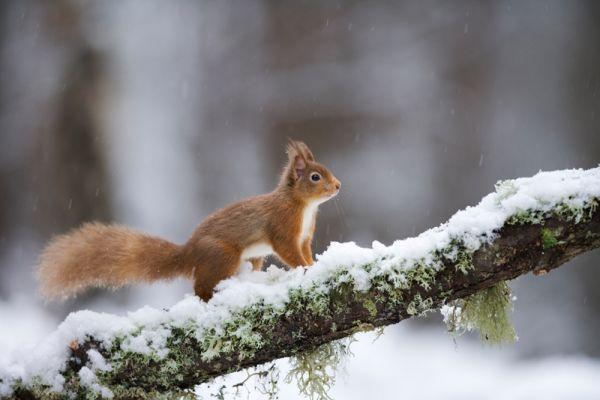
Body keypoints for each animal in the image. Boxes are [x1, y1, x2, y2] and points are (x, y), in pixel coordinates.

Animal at [36, 141, 338, 300]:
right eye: (315, 177)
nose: (338, 186)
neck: (303, 206)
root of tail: (190, 252)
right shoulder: (283, 227)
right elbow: (288, 251)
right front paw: (306, 268)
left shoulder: (304, 236)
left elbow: (305, 250)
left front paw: (313, 264)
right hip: (223, 255)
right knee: (200, 287)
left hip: (251, 258)